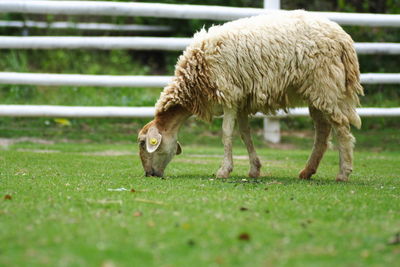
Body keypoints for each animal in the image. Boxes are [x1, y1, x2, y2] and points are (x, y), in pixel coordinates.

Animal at [137, 10, 362, 182]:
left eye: (142, 143)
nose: (150, 174)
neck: (196, 76)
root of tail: (343, 38)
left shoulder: (229, 94)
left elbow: (227, 133)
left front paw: (224, 170)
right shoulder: (241, 100)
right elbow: (245, 134)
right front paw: (254, 169)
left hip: (327, 85)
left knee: (342, 128)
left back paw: (343, 173)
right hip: (317, 91)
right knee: (323, 131)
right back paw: (307, 171)